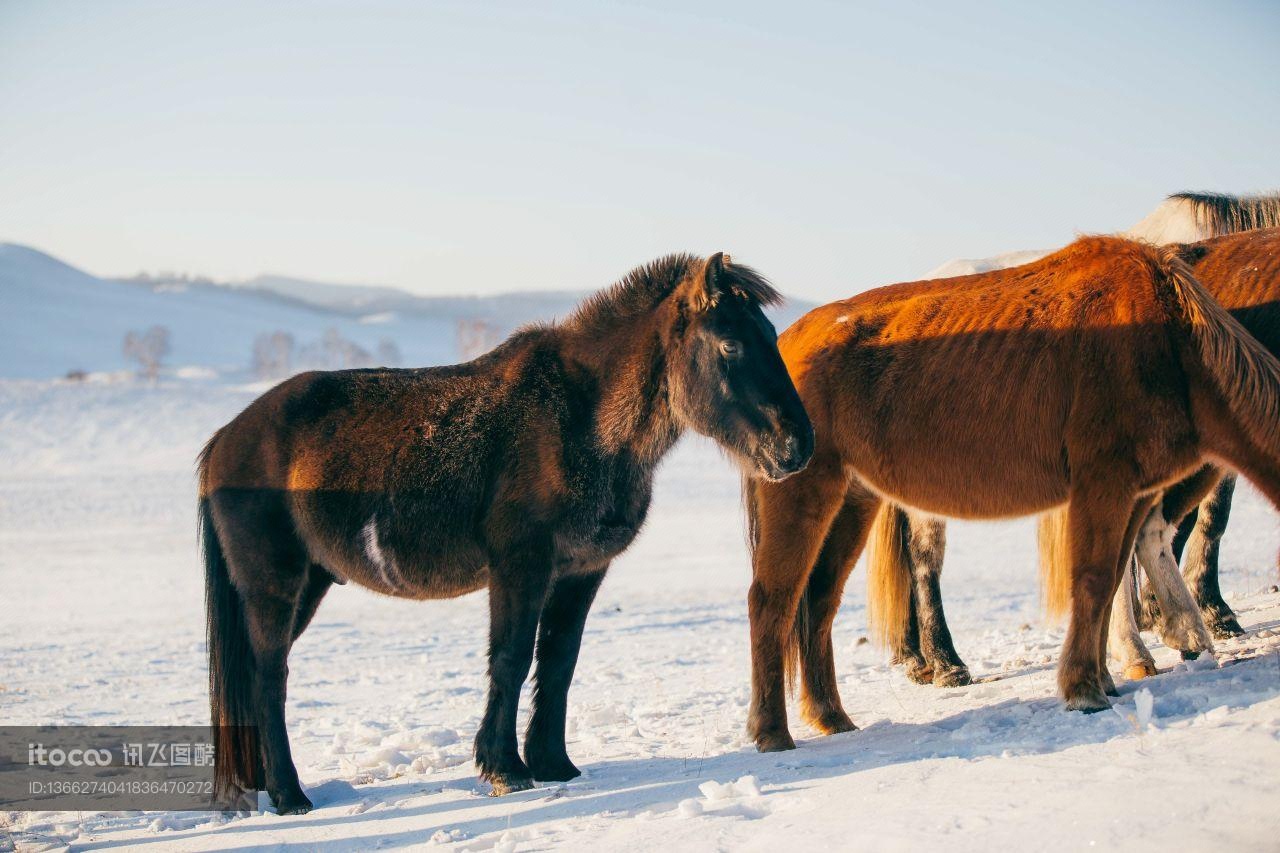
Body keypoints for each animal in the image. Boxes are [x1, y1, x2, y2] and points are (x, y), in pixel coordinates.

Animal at [203, 249, 814, 809]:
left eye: (769, 335)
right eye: (731, 345)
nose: (798, 446)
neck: (583, 421)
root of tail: (226, 439)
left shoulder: (582, 571)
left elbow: (559, 662)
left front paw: (553, 763)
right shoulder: (521, 566)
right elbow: (512, 658)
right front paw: (504, 768)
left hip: (309, 583)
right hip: (275, 586)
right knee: (269, 678)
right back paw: (290, 794)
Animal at [747, 234, 1280, 753]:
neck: (1169, 338)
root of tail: (787, 341)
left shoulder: (1135, 495)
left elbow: (1111, 585)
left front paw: (1105, 678)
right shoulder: (1103, 485)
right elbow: (1093, 581)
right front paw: (1084, 689)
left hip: (853, 499)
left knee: (819, 601)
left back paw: (832, 717)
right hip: (804, 491)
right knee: (772, 600)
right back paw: (774, 732)